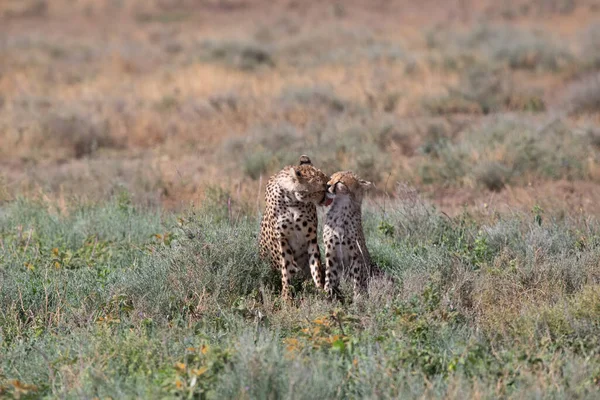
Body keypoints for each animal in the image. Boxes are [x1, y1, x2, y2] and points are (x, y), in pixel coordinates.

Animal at [258, 156, 332, 300]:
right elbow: (286, 269)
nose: (330, 188)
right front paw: (286, 297)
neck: (292, 200)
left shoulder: (311, 239)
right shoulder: (282, 240)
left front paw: (320, 291)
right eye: (322, 187)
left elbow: (315, 267)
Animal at [324, 170, 380, 300]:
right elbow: (329, 277)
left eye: (339, 181)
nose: (327, 185)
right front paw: (326, 297)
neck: (341, 208)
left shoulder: (356, 254)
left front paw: (358, 297)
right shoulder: (330, 253)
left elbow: (357, 278)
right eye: (331, 178)